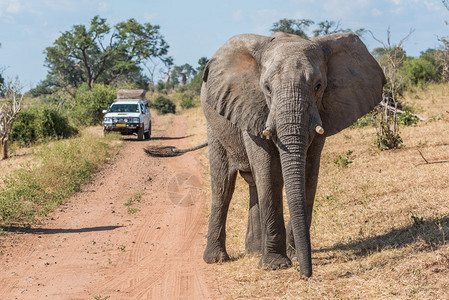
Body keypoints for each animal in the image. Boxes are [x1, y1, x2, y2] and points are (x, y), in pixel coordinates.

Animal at [200, 31, 384, 278]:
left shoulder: (322, 111)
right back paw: (217, 259)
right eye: (267, 88)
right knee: (223, 185)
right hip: (213, 120)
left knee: (252, 183)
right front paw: (275, 264)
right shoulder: (253, 106)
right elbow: (269, 173)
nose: (306, 274)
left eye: (318, 86)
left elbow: (309, 174)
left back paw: (254, 252)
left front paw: (292, 256)